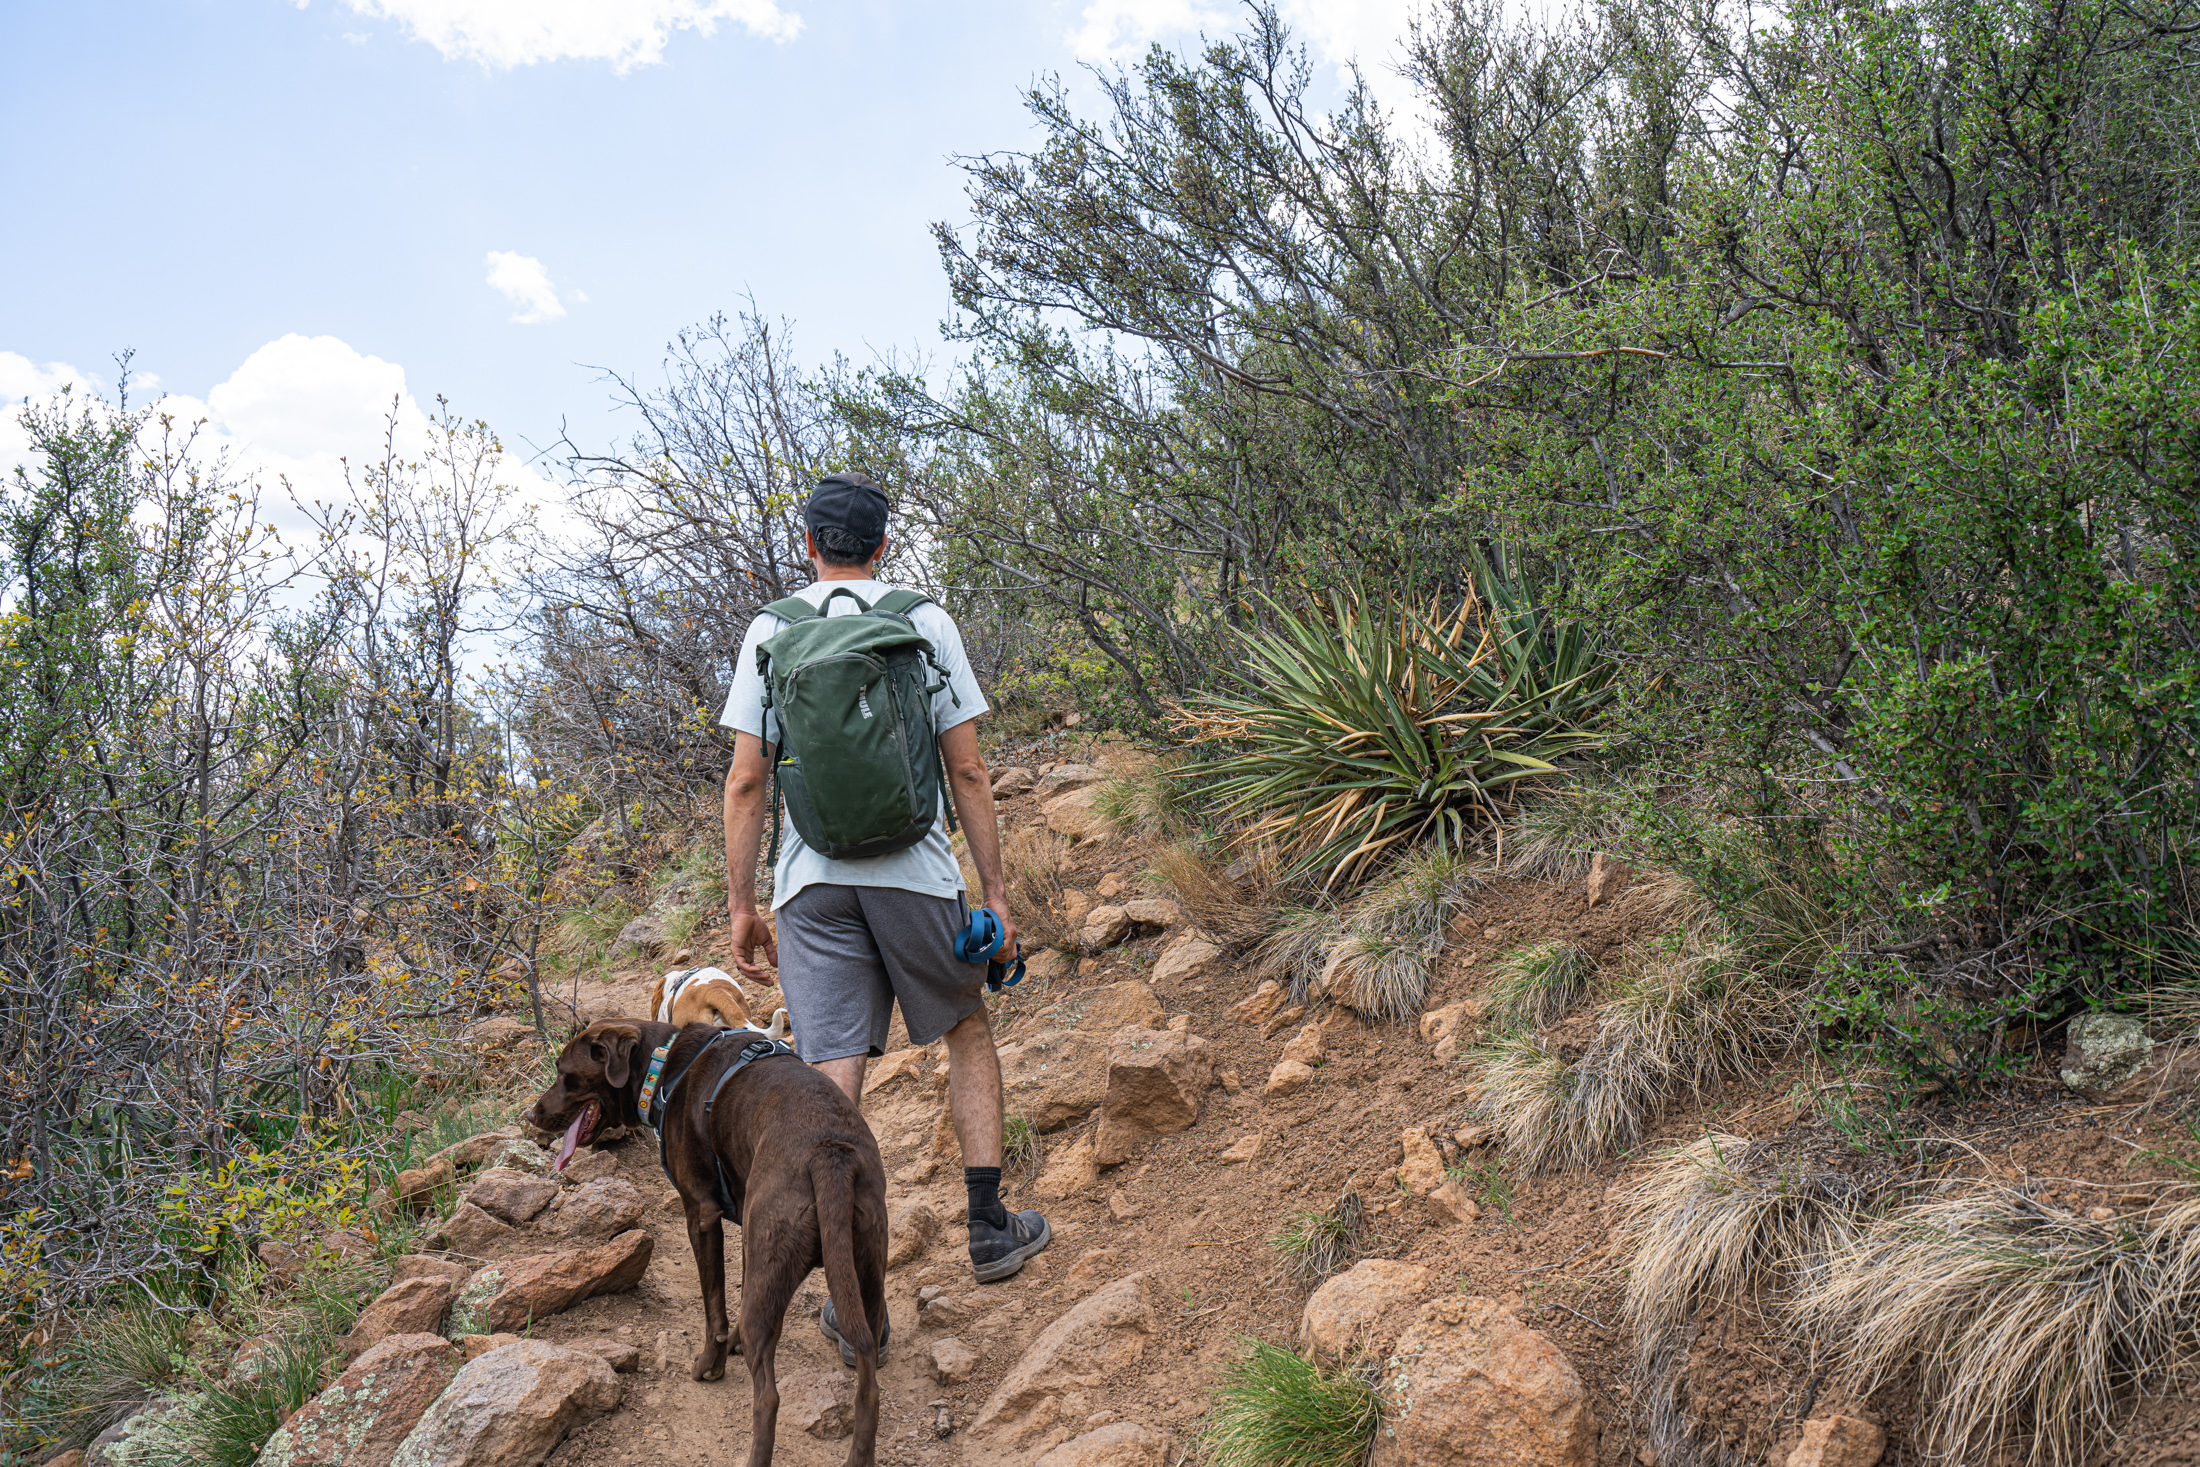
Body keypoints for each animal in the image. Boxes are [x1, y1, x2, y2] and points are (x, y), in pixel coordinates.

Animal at [523, 1020, 884, 1467]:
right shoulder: (748, 1229)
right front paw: (732, 1347)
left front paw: (710, 1365)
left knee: (768, 1397)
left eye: (564, 1073)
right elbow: (736, 1292)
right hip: (864, 1275)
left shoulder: (701, 1214)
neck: (663, 1065)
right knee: (868, 1386)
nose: (530, 1114)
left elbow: (715, 1309)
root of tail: (828, 1152)